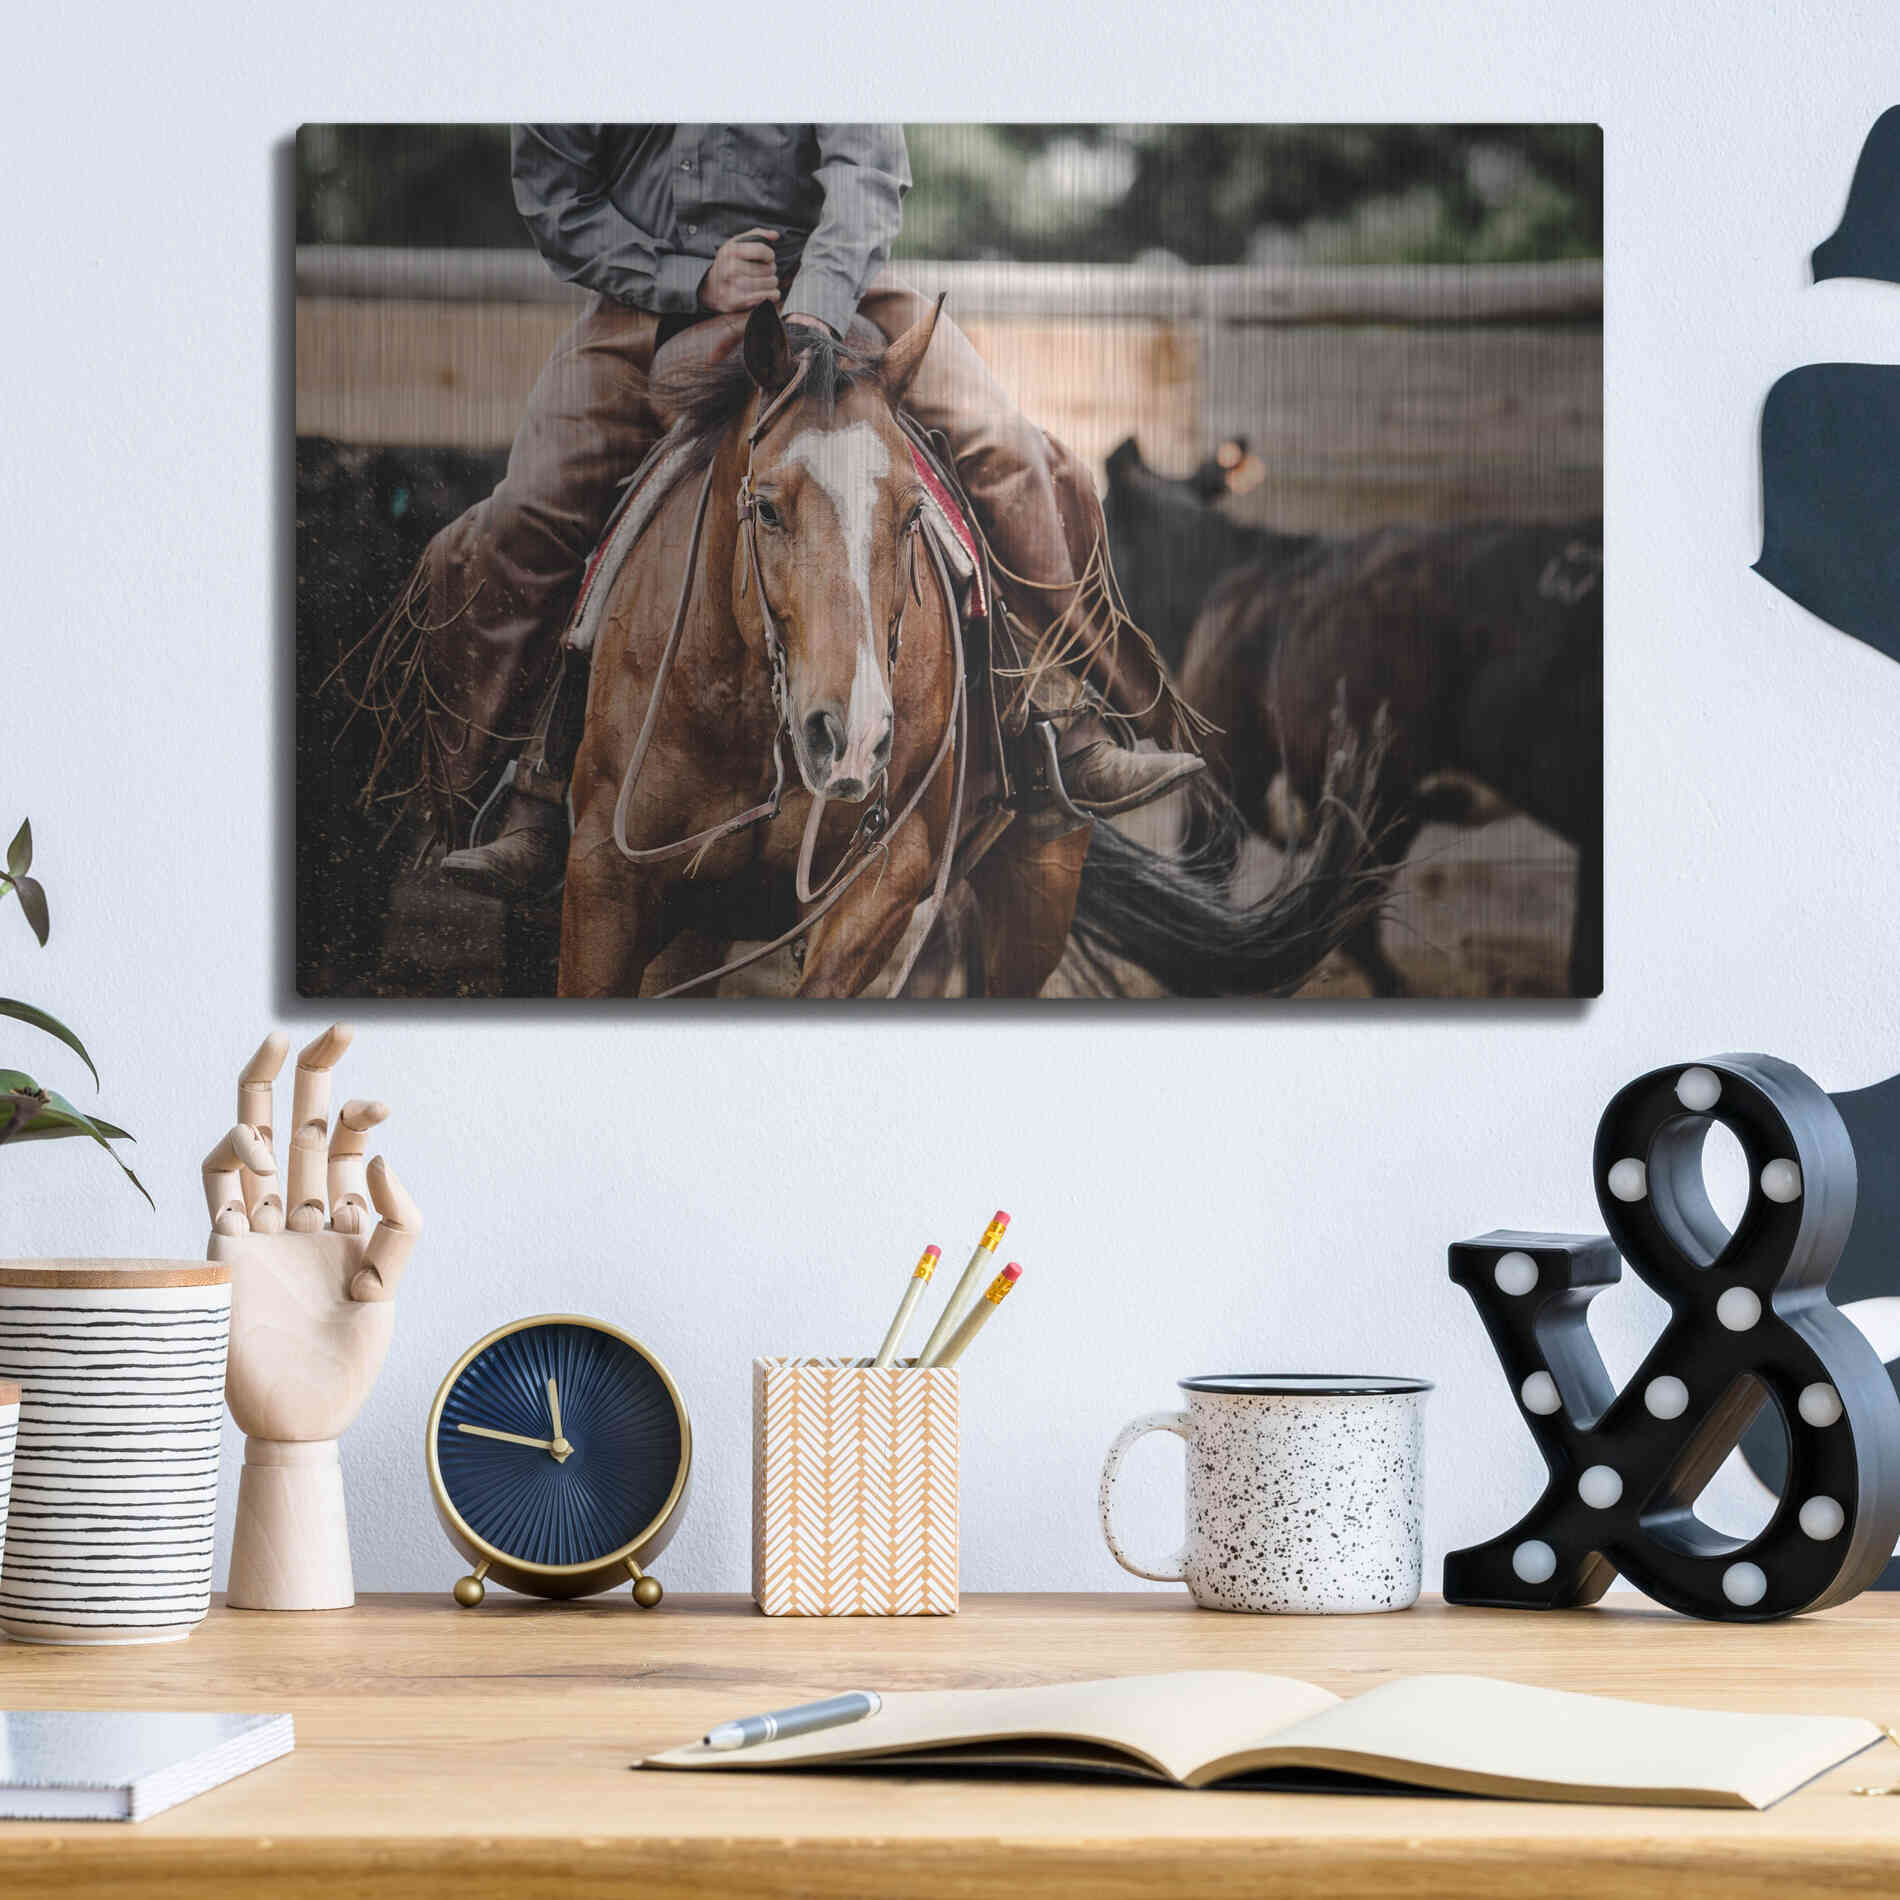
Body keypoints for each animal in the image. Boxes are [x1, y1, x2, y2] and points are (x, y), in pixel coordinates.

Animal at [555, 301, 1390, 1000]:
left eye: (910, 512)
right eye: (766, 508)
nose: (851, 737)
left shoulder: (886, 879)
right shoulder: (605, 879)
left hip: (1036, 886)